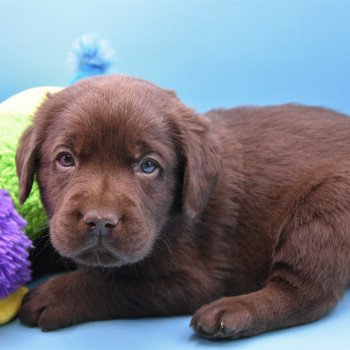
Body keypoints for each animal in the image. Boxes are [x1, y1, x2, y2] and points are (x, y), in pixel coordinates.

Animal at [16, 75, 350, 338]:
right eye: (66, 159)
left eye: (148, 166)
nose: (100, 221)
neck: (170, 222)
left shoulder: (195, 280)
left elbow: (114, 282)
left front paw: (53, 296)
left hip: (325, 207)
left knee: (307, 293)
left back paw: (230, 313)